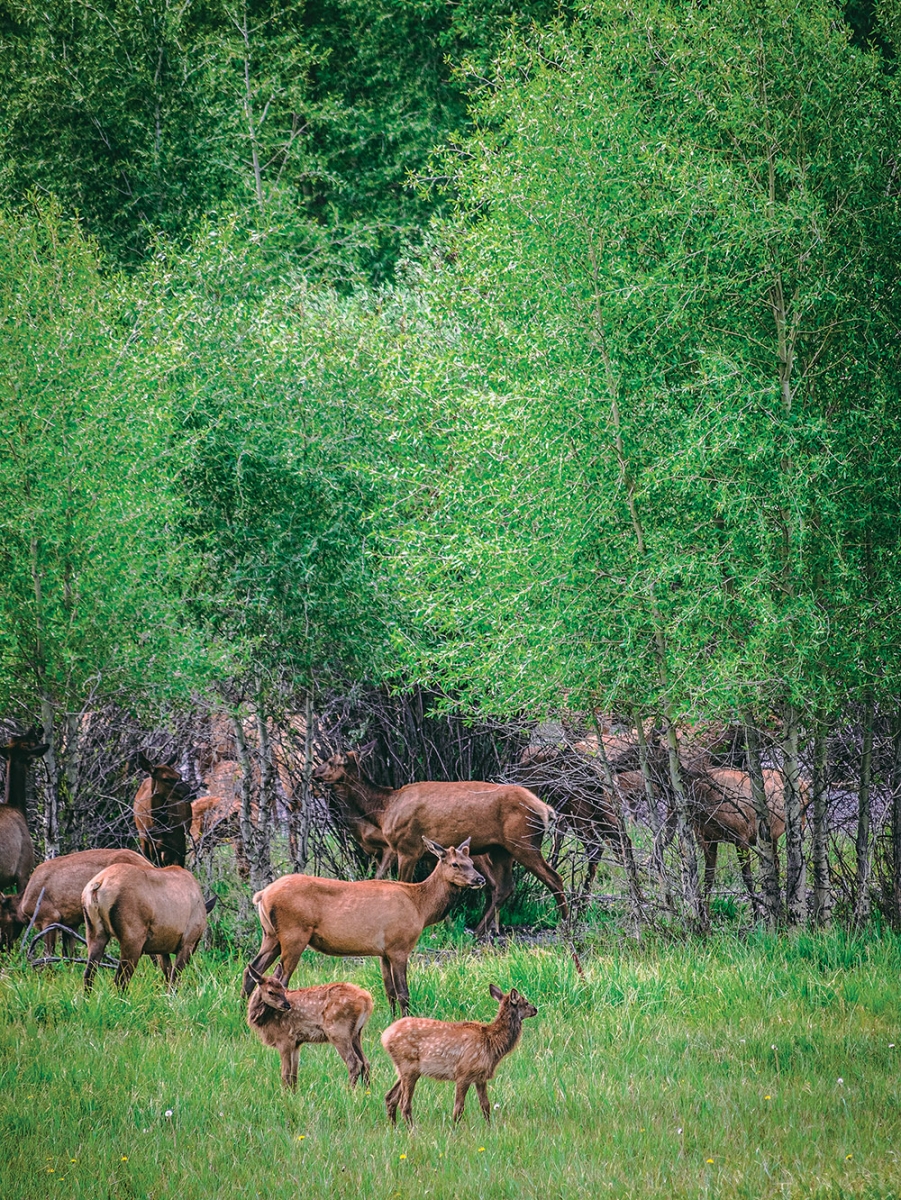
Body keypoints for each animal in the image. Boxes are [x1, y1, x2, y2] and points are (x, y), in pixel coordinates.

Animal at [82, 864, 217, 993]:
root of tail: (98, 884)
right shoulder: (187, 942)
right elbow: (174, 978)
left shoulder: (162, 948)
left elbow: (168, 975)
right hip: (133, 939)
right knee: (120, 979)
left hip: (95, 933)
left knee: (89, 974)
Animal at [243, 844, 487, 1012]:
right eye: (455, 863)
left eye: (472, 862)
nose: (480, 879)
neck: (421, 908)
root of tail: (262, 895)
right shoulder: (400, 946)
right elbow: (403, 993)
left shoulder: (384, 951)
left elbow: (389, 992)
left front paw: (391, 1020)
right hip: (294, 934)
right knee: (280, 978)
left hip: (271, 935)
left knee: (251, 970)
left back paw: (242, 1013)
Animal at [243, 964, 374, 1089]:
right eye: (271, 991)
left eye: (283, 989)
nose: (287, 1005)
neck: (266, 1019)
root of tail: (367, 999)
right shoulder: (296, 1043)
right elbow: (294, 1074)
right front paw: (294, 1094)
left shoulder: (284, 1039)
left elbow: (285, 1073)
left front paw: (284, 1095)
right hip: (356, 1033)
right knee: (366, 1062)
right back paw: (367, 1091)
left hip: (338, 1030)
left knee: (354, 1063)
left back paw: (349, 1091)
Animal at [309, 748, 563, 936]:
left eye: (330, 761)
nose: (313, 772)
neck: (384, 809)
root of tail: (545, 809)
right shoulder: (430, 855)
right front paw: (442, 927)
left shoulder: (407, 848)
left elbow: (402, 883)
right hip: (502, 849)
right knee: (504, 887)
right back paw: (480, 931)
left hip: (523, 842)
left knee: (554, 879)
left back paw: (565, 924)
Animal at [379, 984, 535, 1123]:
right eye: (525, 1002)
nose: (536, 1009)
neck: (491, 1043)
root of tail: (385, 1036)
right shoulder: (463, 1073)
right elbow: (458, 1108)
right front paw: (454, 1130)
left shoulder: (480, 1077)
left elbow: (485, 1106)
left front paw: (490, 1128)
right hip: (408, 1065)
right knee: (404, 1104)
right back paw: (412, 1131)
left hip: (405, 1069)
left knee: (390, 1097)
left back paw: (394, 1128)